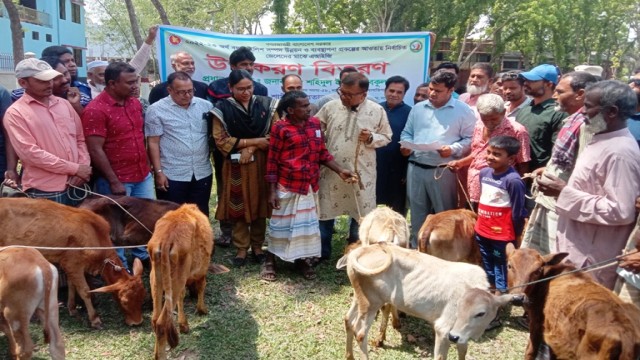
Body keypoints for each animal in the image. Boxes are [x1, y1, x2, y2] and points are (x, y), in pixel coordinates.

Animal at [0, 197, 145, 330]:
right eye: (124, 301)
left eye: (142, 296)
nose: (137, 322)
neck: (94, 233)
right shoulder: (73, 264)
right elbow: (85, 291)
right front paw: (95, 319)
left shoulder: (69, 265)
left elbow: (71, 285)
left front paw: (72, 308)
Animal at [148, 204, 225, 358]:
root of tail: (166, 239)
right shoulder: (202, 271)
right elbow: (202, 286)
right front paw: (202, 310)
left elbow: (182, 297)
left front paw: (183, 325)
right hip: (176, 279)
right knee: (161, 323)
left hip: (156, 277)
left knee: (155, 319)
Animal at [508, 245, 640, 360]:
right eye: (509, 265)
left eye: (538, 270)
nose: (517, 298)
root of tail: (628, 336)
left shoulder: (537, 322)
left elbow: (530, 351)